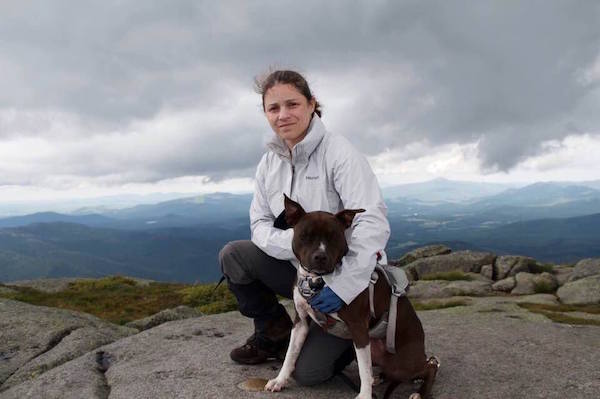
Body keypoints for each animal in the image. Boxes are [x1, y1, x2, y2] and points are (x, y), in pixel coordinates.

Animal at [264, 196, 438, 399]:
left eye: (334, 236)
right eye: (305, 235)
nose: (320, 257)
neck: (316, 280)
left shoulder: (358, 328)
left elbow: (363, 369)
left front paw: (364, 395)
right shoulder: (300, 322)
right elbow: (291, 354)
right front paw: (280, 380)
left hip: (402, 362)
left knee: (430, 365)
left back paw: (420, 391)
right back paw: (378, 378)